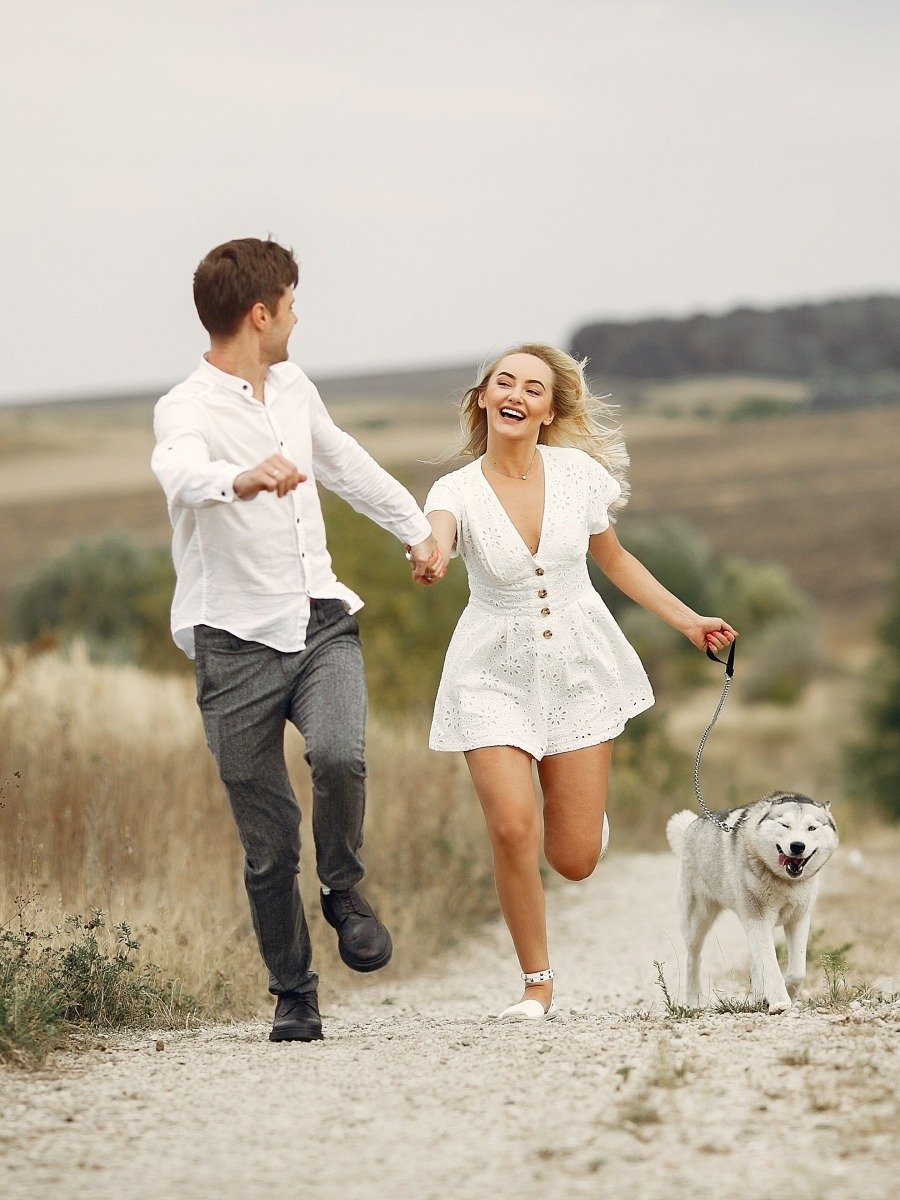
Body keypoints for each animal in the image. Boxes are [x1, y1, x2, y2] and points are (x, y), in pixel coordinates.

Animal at [672, 796, 840, 1012]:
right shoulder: (757, 920)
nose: (797, 846)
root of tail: (692, 823)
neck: (785, 882)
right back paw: (694, 1001)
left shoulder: (799, 919)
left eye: (811, 828)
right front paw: (780, 1002)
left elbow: (797, 972)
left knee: (755, 962)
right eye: (784, 825)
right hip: (698, 920)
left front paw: (788, 992)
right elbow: (770, 967)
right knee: (693, 957)